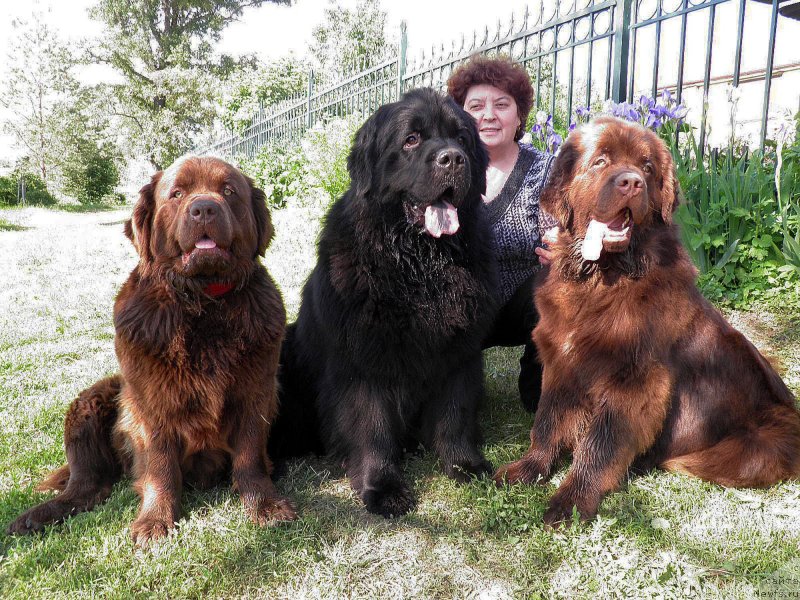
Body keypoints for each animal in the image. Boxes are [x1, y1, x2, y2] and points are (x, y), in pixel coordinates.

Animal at [7, 156, 296, 548]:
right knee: (86, 484)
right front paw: (155, 520)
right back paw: (37, 516)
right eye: (177, 194)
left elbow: (250, 455)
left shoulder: (257, 390)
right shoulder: (150, 401)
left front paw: (264, 505)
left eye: (228, 191)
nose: (204, 208)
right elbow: (160, 466)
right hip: (91, 401)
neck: (203, 301)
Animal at [494, 116, 800, 524]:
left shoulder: (634, 381)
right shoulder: (562, 363)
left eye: (648, 167)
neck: (602, 279)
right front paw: (527, 469)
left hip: (755, 445)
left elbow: (599, 445)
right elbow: (547, 421)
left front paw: (571, 501)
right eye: (601, 160)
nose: (631, 182)